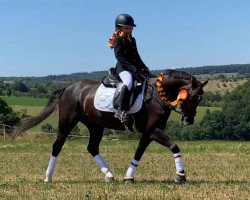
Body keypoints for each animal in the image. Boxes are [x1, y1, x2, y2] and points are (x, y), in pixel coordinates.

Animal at [12, 69, 209, 184]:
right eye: (193, 97)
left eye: (200, 99)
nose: (189, 120)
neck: (158, 96)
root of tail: (69, 88)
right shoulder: (151, 130)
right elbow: (173, 145)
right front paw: (180, 175)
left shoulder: (148, 132)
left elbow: (140, 152)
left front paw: (129, 176)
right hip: (67, 123)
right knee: (57, 146)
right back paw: (48, 177)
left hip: (95, 125)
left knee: (92, 147)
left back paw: (109, 175)